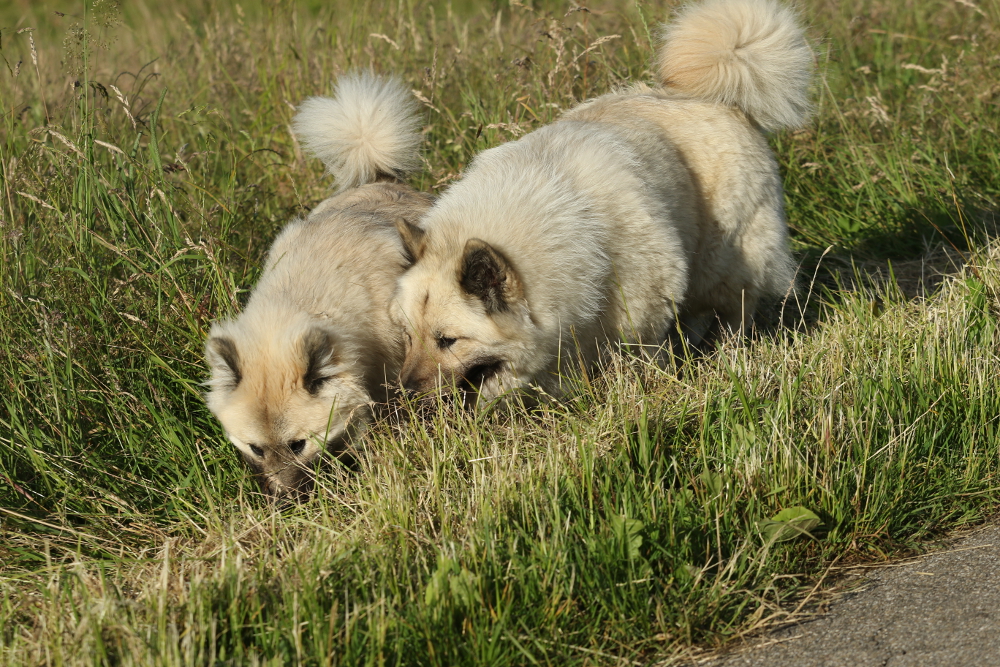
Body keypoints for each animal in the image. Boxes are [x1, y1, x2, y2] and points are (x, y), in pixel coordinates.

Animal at [390, 0, 812, 404]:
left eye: (448, 341)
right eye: (409, 336)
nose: (405, 392)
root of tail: (715, 98)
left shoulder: (644, 308)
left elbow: (646, 355)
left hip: (722, 264)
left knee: (734, 311)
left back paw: (726, 353)